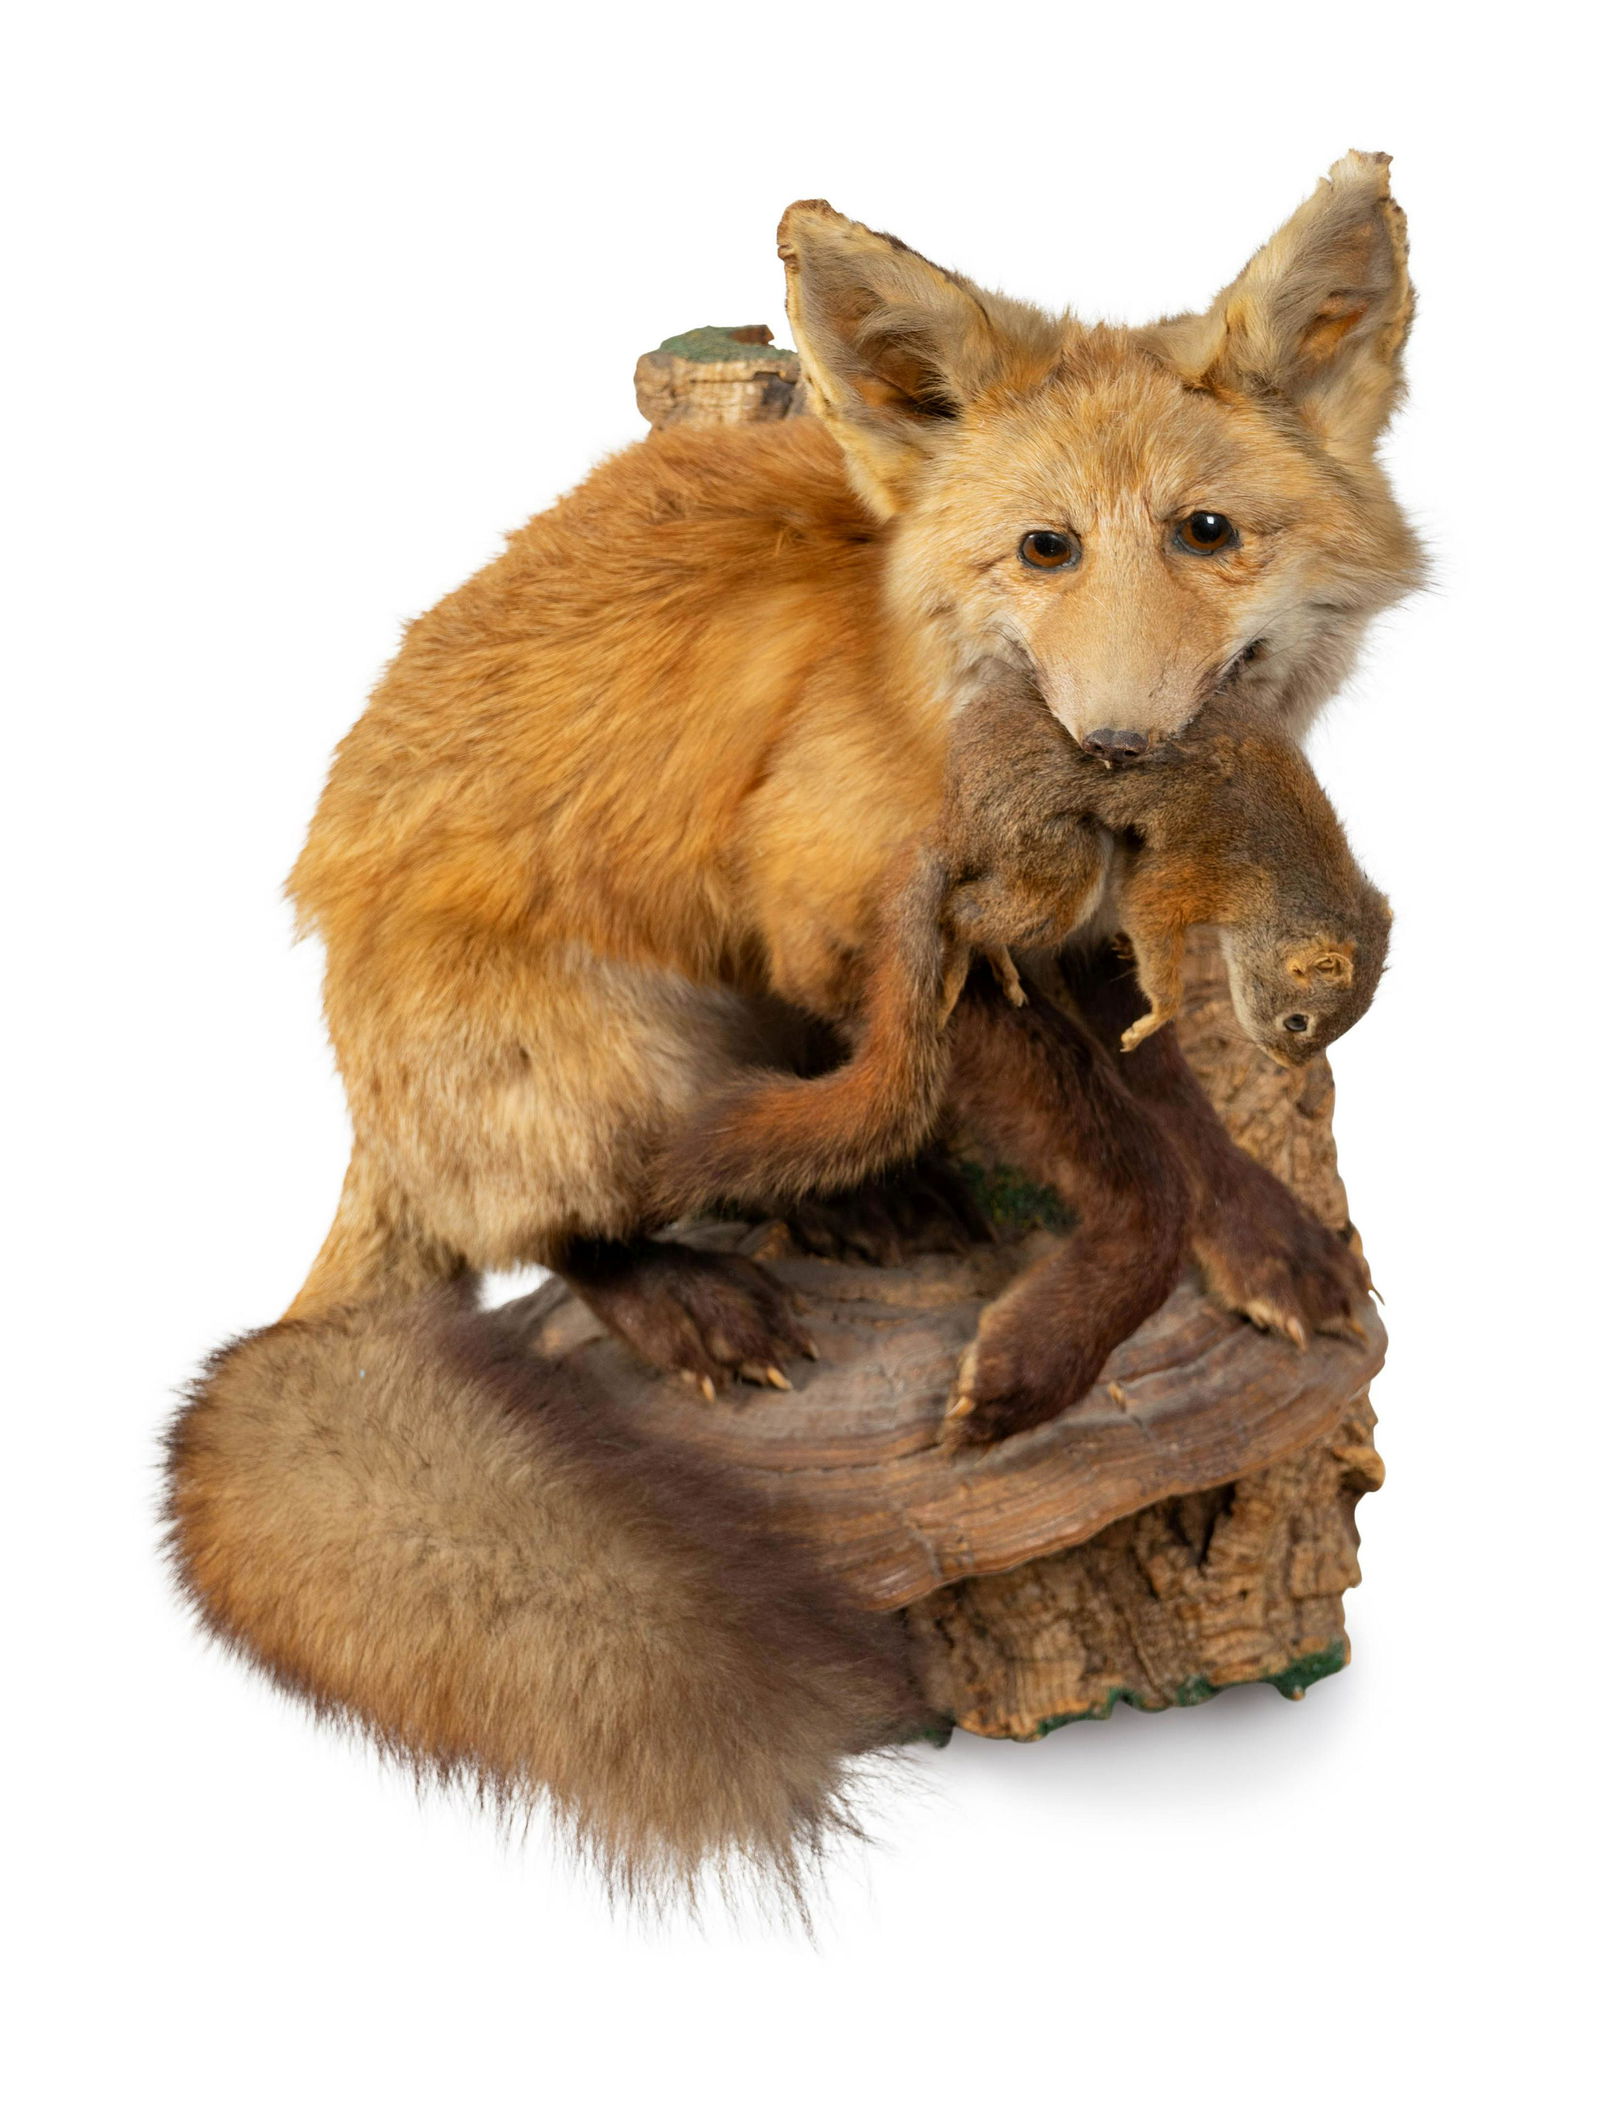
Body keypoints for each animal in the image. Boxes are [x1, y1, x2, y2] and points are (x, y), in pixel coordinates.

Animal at [167, 154, 1421, 1904]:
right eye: (1044, 548)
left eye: (1209, 533)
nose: (1116, 745)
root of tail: (367, 1100)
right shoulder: (870, 914)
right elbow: (1132, 1165)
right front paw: (1039, 1362)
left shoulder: (1087, 934)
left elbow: (1177, 1119)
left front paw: (1273, 1252)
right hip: (624, 1052)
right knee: (560, 1223)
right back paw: (694, 1295)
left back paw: (874, 1205)